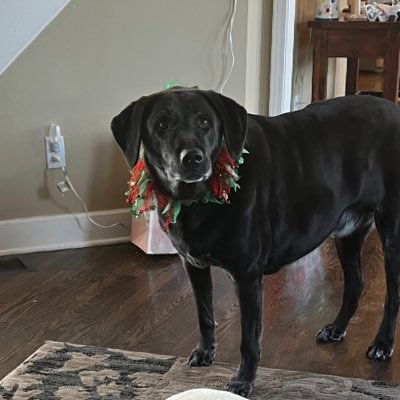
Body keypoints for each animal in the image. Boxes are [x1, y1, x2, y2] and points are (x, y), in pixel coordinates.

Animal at [111, 89, 400, 398]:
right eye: (162, 124)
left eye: (204, 121)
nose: (192, 159)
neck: (197, 200)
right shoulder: (193, 265)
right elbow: (204, 314)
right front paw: (205, 352)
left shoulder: (247, 276)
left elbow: (249, 339)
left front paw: (242, 381)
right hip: (348, 233)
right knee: (356, 283)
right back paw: (336, 328)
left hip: (392, 233)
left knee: (393, 294)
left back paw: (383, 344)